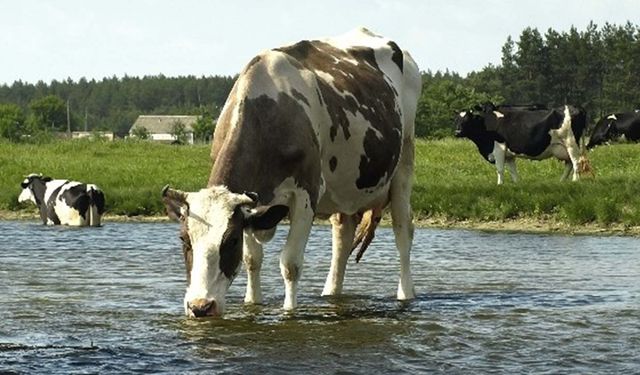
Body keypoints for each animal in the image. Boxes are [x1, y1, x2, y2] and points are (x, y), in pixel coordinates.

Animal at [159, 27, 420, 318]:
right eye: (184, 239)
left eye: (231, 240)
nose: (201, 306)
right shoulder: (252, 205)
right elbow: (253, 260)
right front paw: (253, 303)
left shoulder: (306, 193)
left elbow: (290, 263)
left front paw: (289, 313)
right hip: (345, 186)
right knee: (342, 236)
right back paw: (331, 294)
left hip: (404, 163)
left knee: (402, 231)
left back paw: (405, 294)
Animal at [456, 103, 584, 185]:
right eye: (456, 119)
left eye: (467, 119)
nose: (457, 132)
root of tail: (575, 107)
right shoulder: (509, 155)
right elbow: (513, 171)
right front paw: (516, 183)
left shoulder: (499, 147)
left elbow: (500, 169)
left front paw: (499, 185)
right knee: (569, 164)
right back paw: (561, 181)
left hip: (571, 143)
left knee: (576, 162)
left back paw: (575, 181)